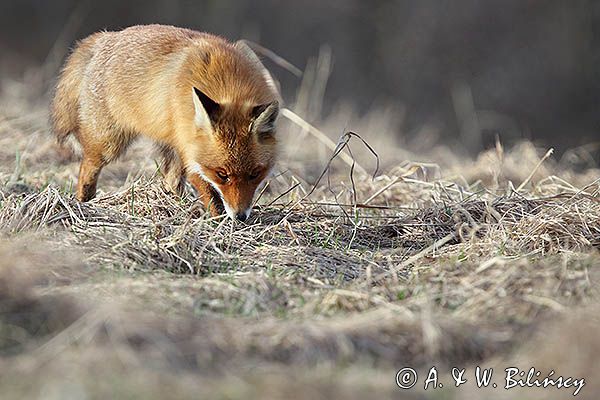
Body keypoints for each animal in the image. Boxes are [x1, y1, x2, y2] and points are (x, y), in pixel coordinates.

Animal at [50, 25, 280, 222]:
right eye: (221, 175)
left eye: (254, 174)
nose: (240, 216)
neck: (226, 82)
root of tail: (105, 36)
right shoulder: (190, 150)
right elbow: (210, 196)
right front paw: (219, 222)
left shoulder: (185, 144)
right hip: (109, 144)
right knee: (86, 167)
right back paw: (82, 204)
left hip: (169, 144)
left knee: (171, 181)